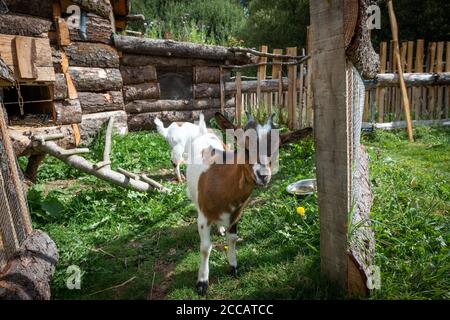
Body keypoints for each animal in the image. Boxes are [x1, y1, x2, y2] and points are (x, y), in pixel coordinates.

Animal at [185, 112, 312, 296]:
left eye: (277, 149)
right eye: (244, 147)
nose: (263, 176)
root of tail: (203, 132)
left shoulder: (236, 214)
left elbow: (233, 239)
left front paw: (233, 266)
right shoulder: (204, 218)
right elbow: (205, 247)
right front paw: (202, 282)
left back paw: (220, 228)